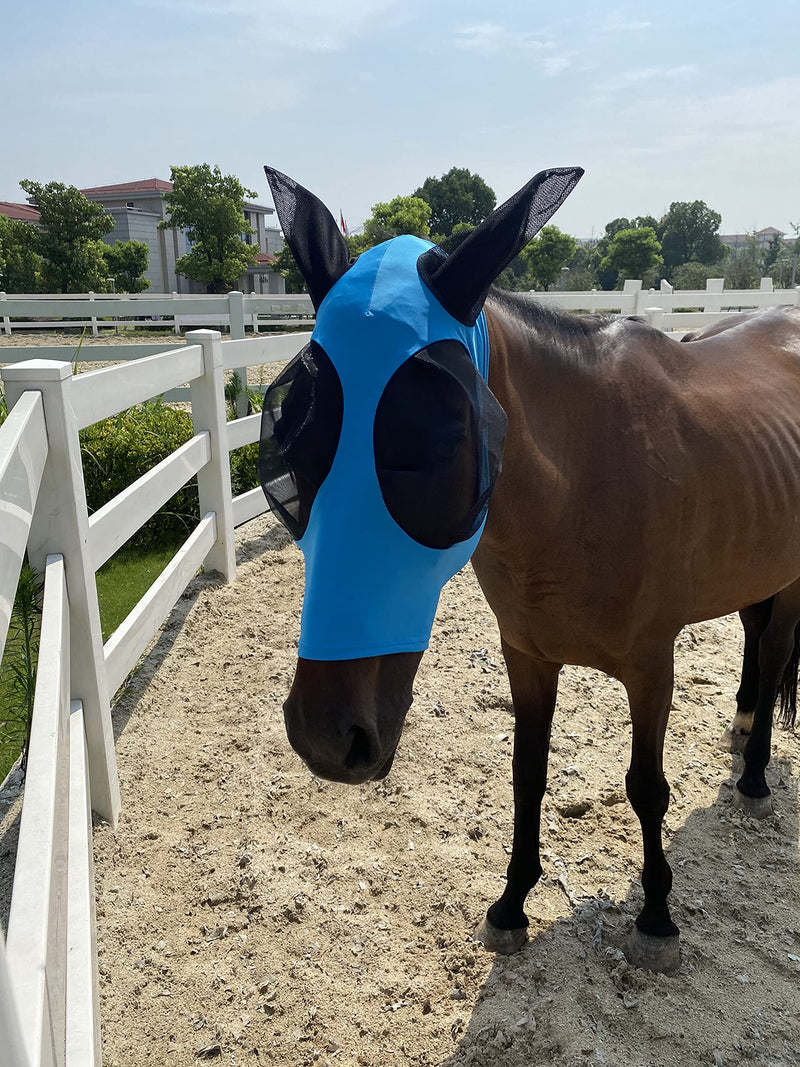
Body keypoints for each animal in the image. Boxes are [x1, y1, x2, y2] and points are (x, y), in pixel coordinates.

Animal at [258, 164, 800, 974]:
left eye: (442, 440)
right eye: (292, 443)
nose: (326, 737)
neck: (585, 478)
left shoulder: (652, 665)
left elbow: (647, 788)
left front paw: (657, 919)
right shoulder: (528, 654)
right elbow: (527, 774)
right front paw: (511, 903)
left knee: (773, 656)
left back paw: (758, 773)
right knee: (755, 639)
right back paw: (739, 731)